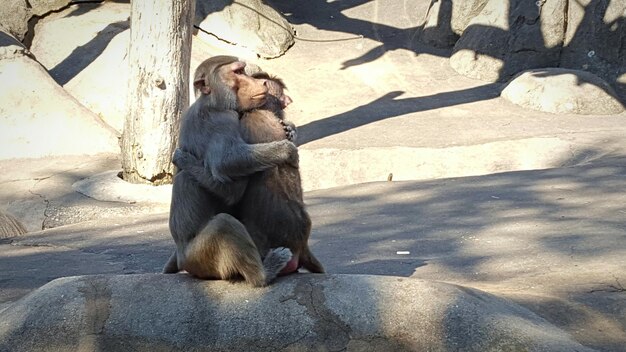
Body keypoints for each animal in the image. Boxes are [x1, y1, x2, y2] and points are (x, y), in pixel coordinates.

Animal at [162, 55, 298, 286]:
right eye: (237, 72)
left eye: (243, 70)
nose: (260, 83)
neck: (213, 101)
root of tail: (183, 259)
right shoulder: (221, 120)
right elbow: (226, 166)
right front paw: (287, 150)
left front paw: (290, 130)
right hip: (199, 257)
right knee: (223, 224)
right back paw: (264, 273)